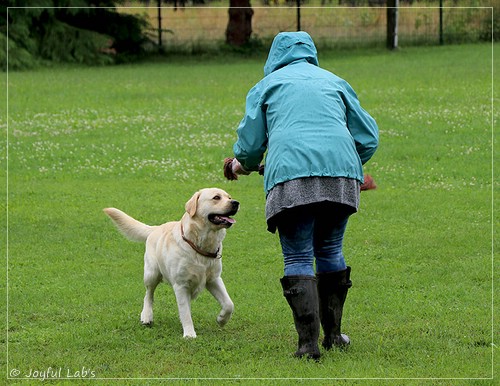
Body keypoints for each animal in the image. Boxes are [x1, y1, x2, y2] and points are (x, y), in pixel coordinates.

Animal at [103, 188, 238, 338]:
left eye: (229, 197)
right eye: (216, 197)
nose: (236, 203)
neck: (200, 246)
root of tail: (156, 227)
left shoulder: (214, 279)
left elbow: (229, 304)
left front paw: (221, 319)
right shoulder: (181, 285)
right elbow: (185, 312)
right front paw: (189, 334)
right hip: (151, 274)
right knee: (148, 295)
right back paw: (146, 316)